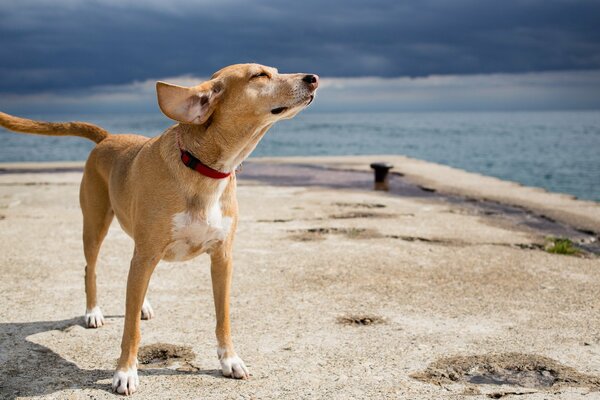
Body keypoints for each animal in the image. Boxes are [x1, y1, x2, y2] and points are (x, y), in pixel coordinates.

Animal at [0, 64, 318, 396]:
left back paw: (141, 304)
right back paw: (93, 312)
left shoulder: (222, 258)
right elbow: (131, 330)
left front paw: (229, 360)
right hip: (96, 226)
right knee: (91, 269)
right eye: (259, 75)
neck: (203, 169)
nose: (313, 78)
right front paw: (125, 372)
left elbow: (223, 317)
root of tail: (107, 138)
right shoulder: (146, 253)